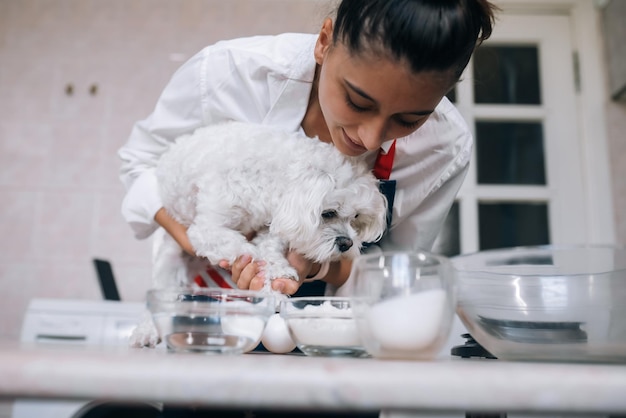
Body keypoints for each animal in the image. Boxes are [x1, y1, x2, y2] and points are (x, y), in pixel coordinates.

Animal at [130, 121, 388, 350]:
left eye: (355, 217)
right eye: (328, 213)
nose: (347, 244)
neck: (269, 177)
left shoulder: (272, 222)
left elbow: (269, 248)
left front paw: (279, 271)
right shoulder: (207, 230)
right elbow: (251, 255)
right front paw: (270, 290)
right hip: (169, 263)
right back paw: (146, 332)